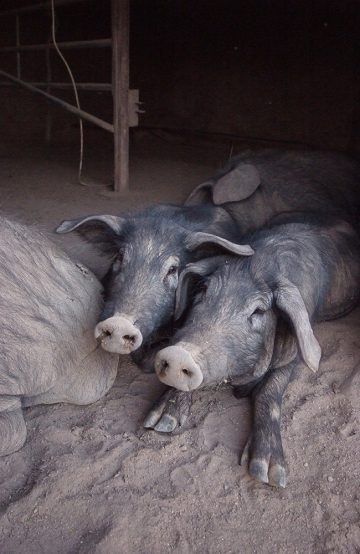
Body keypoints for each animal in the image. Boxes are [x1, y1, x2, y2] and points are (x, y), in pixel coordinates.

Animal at [154, 213, 360, 486]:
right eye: (204, 291)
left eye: (259, 311)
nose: (180, 354)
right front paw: (159, 423)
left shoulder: (294, 351)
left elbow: (269, 390)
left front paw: (269, 473)